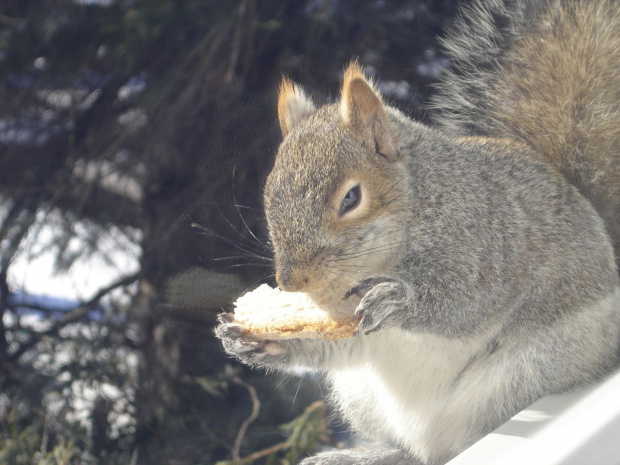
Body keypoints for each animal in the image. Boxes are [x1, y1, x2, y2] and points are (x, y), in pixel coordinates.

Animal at [214, 1, 620, 462]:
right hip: (362, 397)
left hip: (526, 376)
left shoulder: (486, 240)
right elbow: (334, 341)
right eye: (269, 191)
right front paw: (245, 339)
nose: (292, 282)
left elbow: (467, 299)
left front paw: (398, 299)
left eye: (351, 198)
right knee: (412, 453)